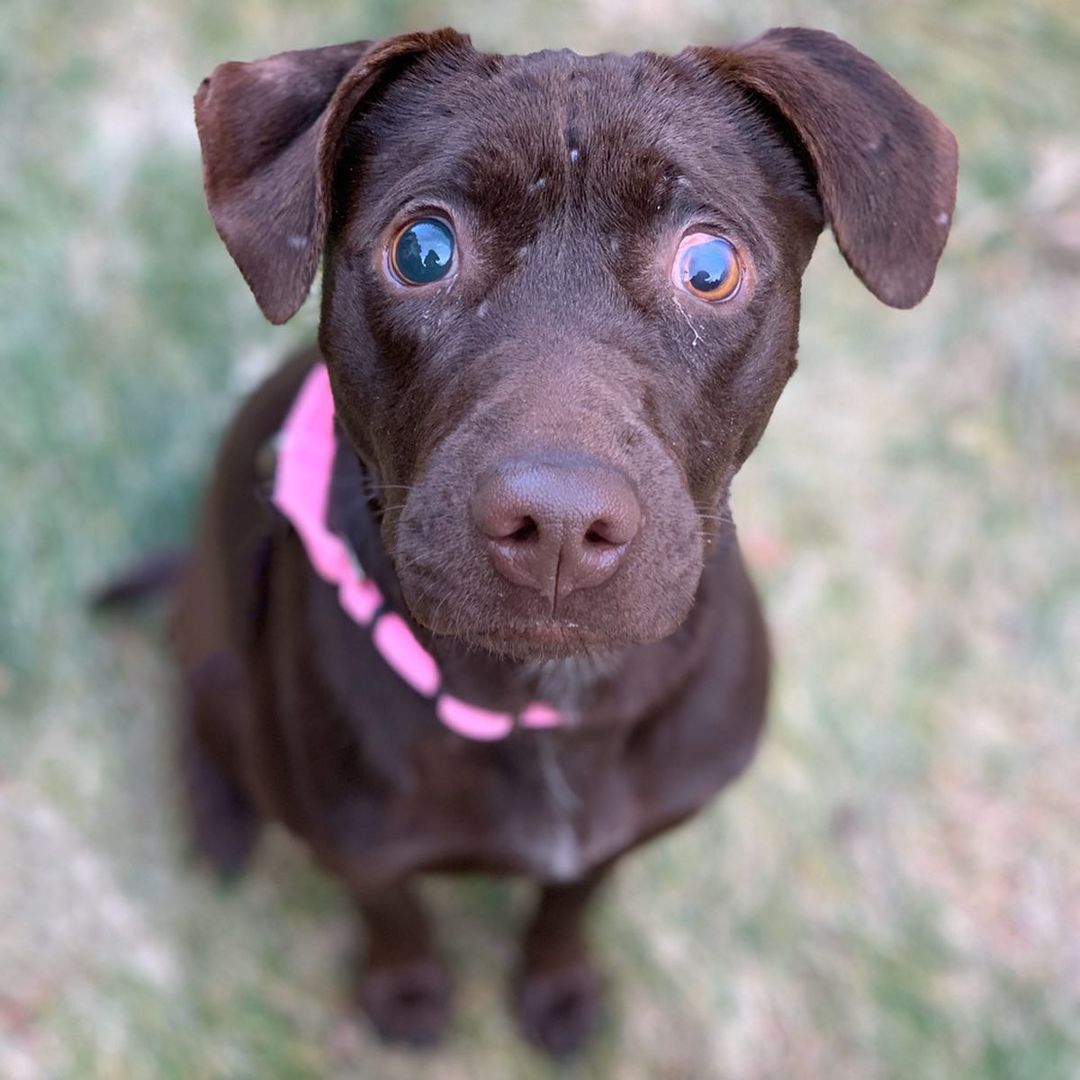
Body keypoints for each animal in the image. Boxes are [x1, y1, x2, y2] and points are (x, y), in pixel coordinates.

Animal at [174, 25, 954, 1054]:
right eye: (421, 249)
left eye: (710, 266)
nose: (556, 523)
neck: (550, 701)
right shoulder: (357, 843)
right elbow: (391, 909)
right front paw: (405, 989)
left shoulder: (629, 829)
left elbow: (575, 895)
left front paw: (557, 984)